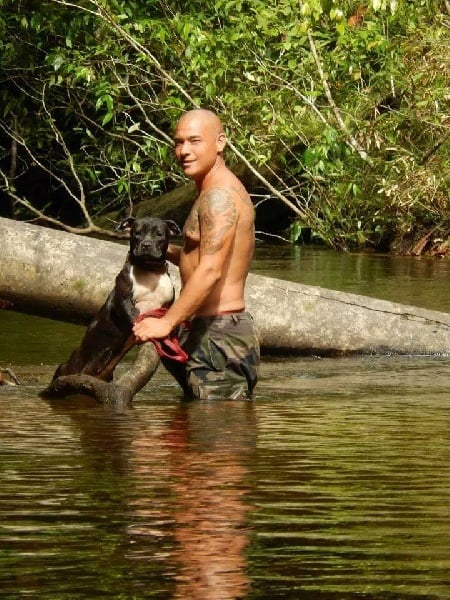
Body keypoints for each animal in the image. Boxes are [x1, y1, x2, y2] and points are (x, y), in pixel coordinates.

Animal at [45, 216, 180, 390]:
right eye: (137, 233)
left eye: (159, 234)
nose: (146, 244)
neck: (150, 270)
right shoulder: (123, 299)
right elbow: (134, 315)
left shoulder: (168, 303)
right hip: (70, 367)